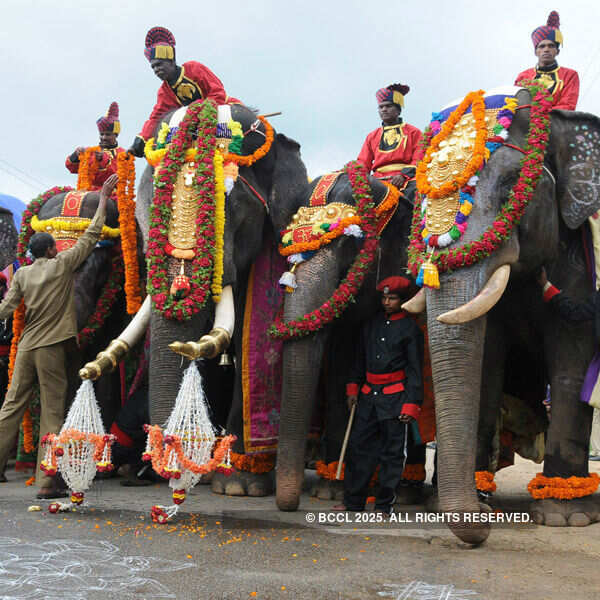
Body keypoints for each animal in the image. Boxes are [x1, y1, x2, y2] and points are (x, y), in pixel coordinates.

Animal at [404, 84, 600, 544]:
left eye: (514, 188)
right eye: (418, 203)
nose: (482, 516)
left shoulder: (577, 254)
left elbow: (572, 353)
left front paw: (567, 517)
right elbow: (487, 357)